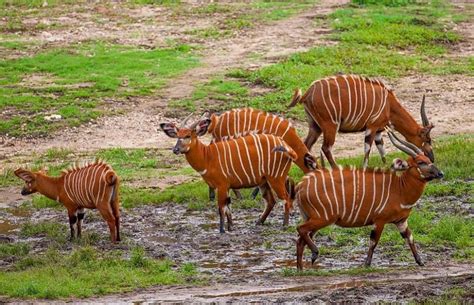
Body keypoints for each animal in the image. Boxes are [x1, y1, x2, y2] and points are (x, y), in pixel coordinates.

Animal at [161, 115, 298, 232]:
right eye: (177, 135)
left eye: (188, 135)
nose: (175, 149)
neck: (207, 157)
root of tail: (288, 148)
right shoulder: (225, 187)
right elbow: (228, 208)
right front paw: (230, 227)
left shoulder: (222, 185)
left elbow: (221, 207)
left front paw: (222, 230)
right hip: (264, 181)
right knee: (271, 200)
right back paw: (259, 222)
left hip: (276, 178)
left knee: (285, 198)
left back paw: (285, 225)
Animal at [286, 74, 436, 167]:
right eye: (428, 140)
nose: (432, 158)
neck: (389, 104)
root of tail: (306, 94)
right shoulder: (372, 127)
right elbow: (367, 149)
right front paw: (365, 168)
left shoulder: (379, 131)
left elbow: (381, 149)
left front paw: (387, 165)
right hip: (330, 126)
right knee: (326, 148)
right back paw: (335, 168)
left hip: (315, 126)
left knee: (306, 145)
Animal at [294, 128, 442, 268]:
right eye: (421, 162)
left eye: (429, 160)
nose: (441, 173)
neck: (400, 189)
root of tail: (300, 186)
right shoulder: (379, 220)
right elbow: (373, 241)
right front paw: (366, 264)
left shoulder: (401, 221)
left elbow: (410, 238)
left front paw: (421, 262)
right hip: (323, 218)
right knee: (300, 229)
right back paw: (314, 254)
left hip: (313, 218)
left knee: (300, 240)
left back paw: (300, 269)